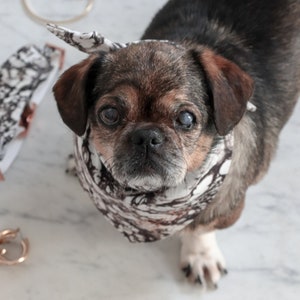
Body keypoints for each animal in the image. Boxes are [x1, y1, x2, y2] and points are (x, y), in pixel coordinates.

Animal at [50, 0, 298, 290]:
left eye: (186, 119)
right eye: (109, 114)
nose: (147, 136)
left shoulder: (222, 211)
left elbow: (201, 228)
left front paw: (200, 254)